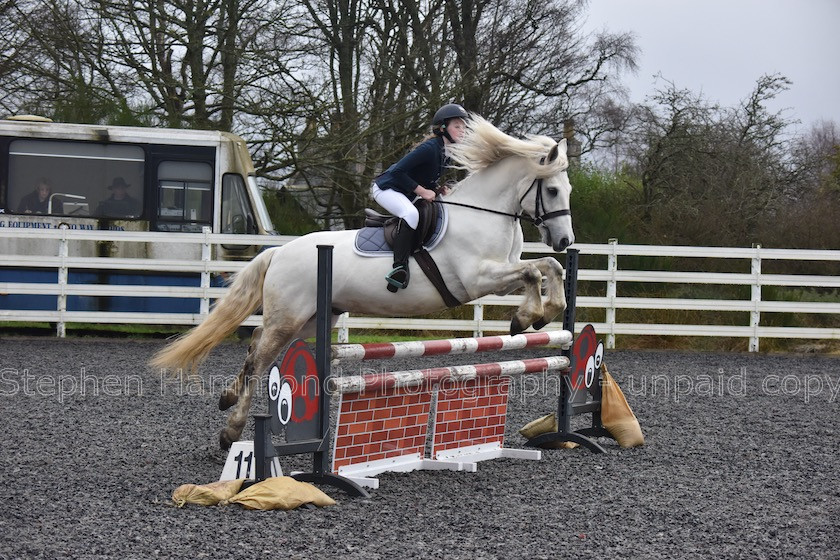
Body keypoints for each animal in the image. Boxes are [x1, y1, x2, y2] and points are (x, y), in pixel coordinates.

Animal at [151, 116, 576, 448]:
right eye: (553, 189)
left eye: (568, 190)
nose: (565, 240)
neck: (484, 212)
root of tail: (280, 252)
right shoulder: (477, 279)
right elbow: (533, 272)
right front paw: (527, 318)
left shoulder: (500, 275)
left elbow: (549, 267)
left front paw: (545, 312)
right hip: (290, 317)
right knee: (261, 359)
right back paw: (231, 430)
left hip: (309, 319)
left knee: (256, 344)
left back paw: (227, 399)